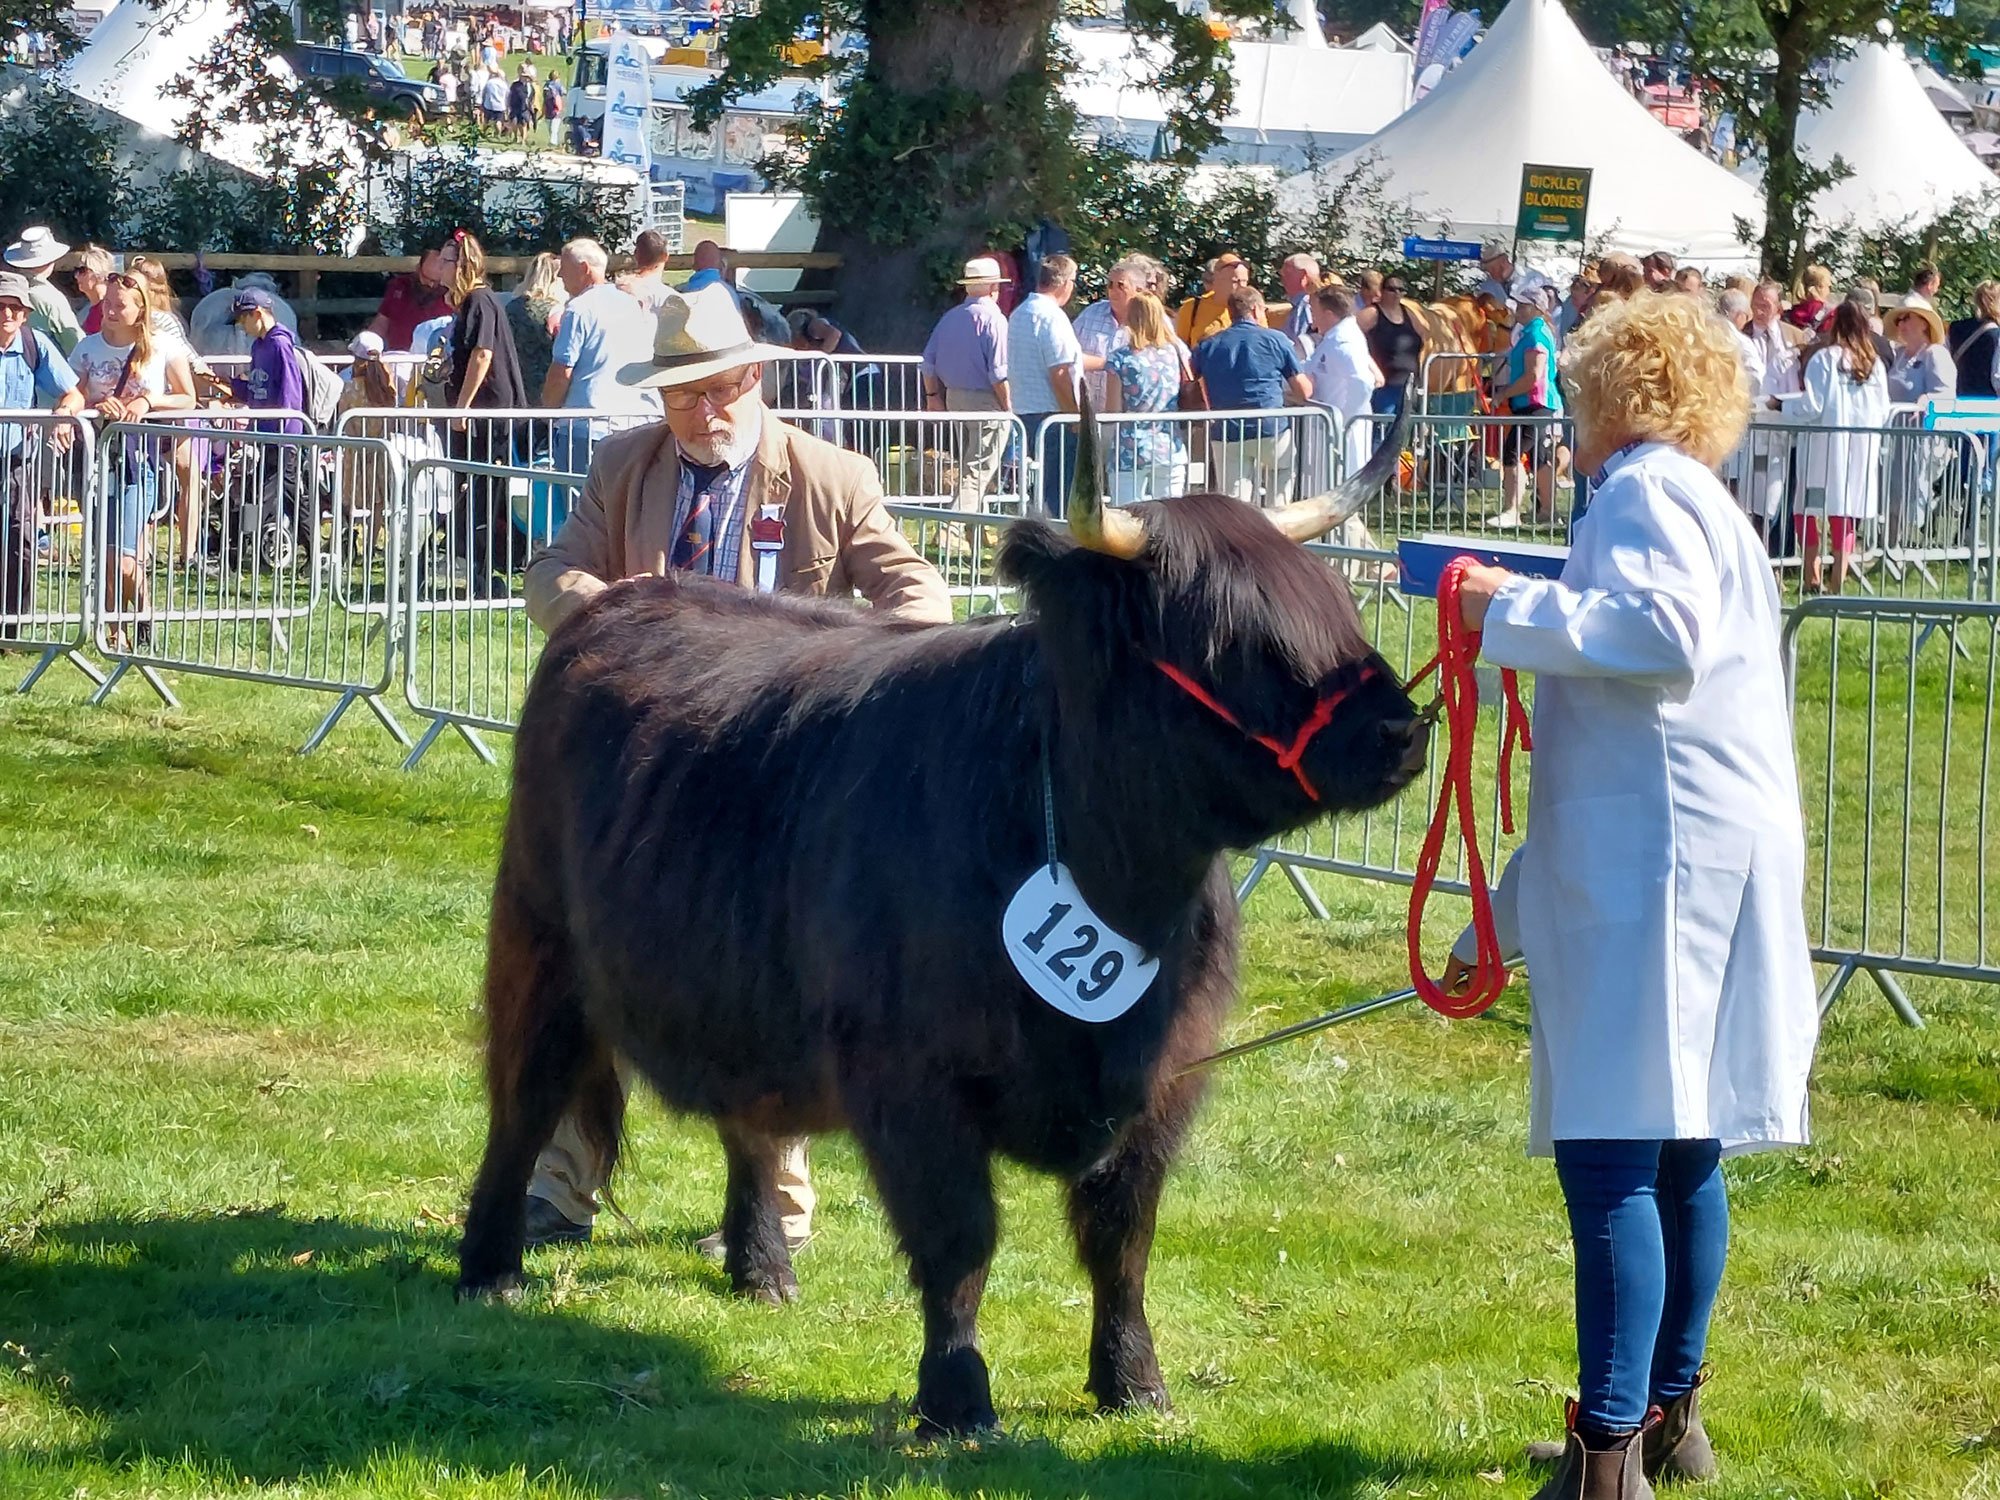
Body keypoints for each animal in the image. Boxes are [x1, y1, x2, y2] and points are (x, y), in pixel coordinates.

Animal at [458, 412, 1424, 1432]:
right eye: (1232, 638)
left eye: (1338, 609)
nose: (1402, 730)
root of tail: (626, 599)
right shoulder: (913, 1079)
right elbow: (960, 1239)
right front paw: (959, 1398)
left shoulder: (1164, 1079)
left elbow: (1122, 1239)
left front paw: (1134, 1383)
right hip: (538, 943)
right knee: (522, 1100)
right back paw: (489, 1269)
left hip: (736, 991)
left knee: (748, 1122)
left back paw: (762, 1267)